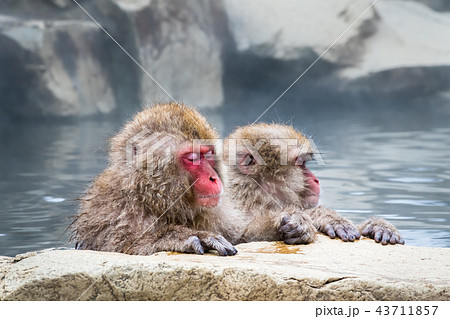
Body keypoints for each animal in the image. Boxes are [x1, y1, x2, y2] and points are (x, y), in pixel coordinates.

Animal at [71, 104, 239, 256]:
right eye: (192, 158)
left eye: (209, 153)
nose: (213, 178)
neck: (148, 197)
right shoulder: (114, 213)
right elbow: (125, 248)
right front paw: (187, 237)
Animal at [225, 124, 404, 246]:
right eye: (301, 163)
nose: (316, 180)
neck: (252, 193)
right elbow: (240, 236)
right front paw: (310, 219)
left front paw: (377, 226)